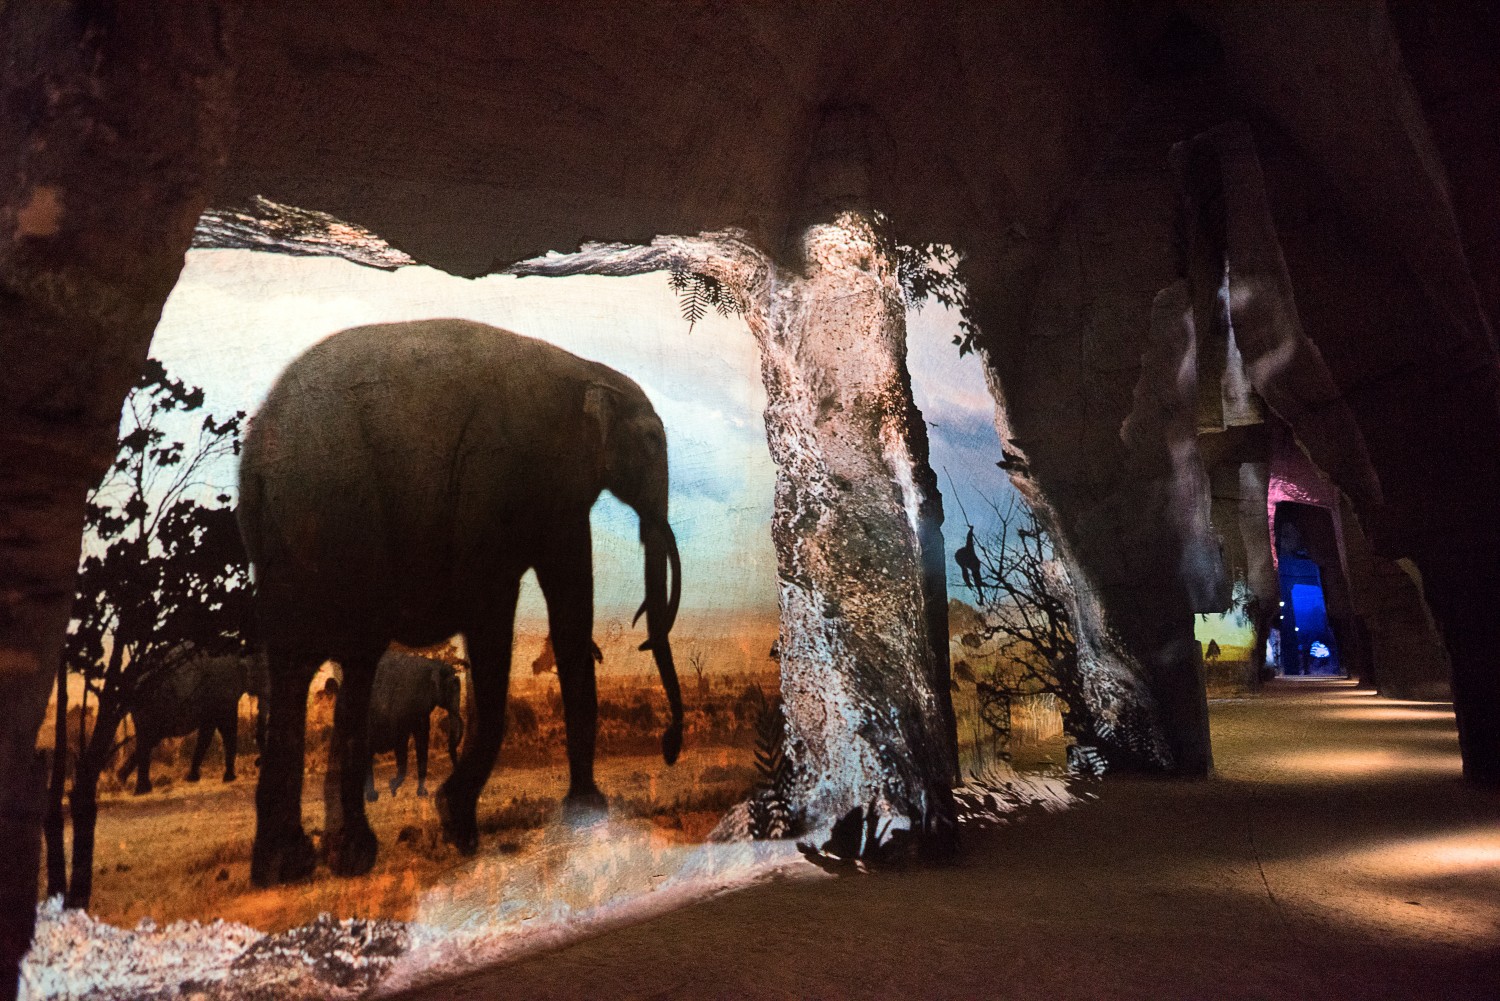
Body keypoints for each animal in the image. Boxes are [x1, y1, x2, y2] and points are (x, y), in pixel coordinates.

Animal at [121, 651, 268, 798]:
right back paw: (140, 789)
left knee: (149, 740)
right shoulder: (223, 689)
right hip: (149, 704)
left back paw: (123, 779)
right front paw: (229, 778)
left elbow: (208, 731)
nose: (257, 762)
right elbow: (226, 728)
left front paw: (192, 778)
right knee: (147, 739)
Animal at [363, 654, 462, 804]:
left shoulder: (421, 712)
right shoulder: (400, 710)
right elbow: (401, 742)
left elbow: (422, 739)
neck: (436, 666)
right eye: (451, 689)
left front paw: (422, 793)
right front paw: (393, 787)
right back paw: (371, 797)